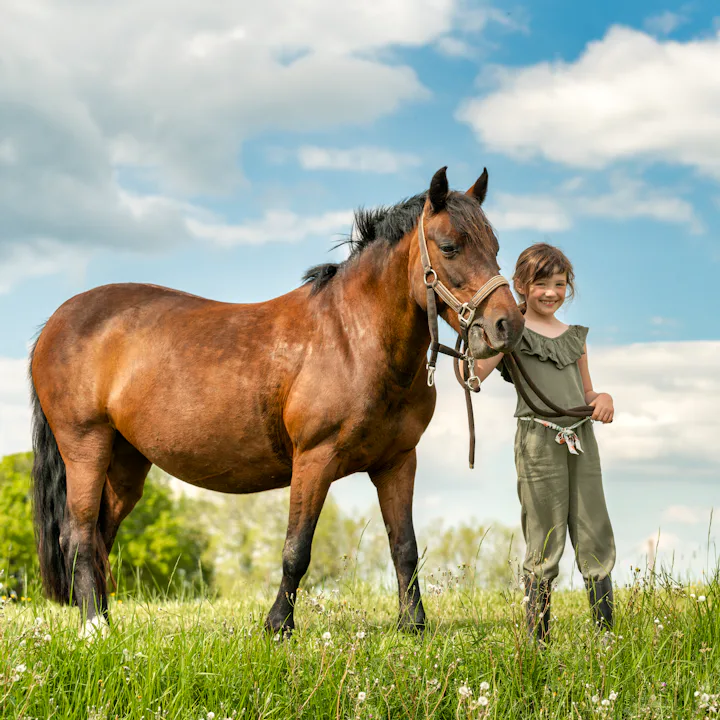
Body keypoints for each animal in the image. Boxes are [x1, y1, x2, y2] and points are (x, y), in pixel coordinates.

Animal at [29, 167, 524, 637]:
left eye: (495, 246)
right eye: (450, 246)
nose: (509, 324)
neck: (353, 339)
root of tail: (56, 322)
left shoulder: (398, 462)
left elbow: (404, 547)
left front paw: (413, 626)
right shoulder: (314, 460)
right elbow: (296, 550)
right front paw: (278, 626)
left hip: (127, 461)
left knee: (100, 535)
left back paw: (104, 620)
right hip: (86, 448)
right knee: (79, 535)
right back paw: (93, 628)